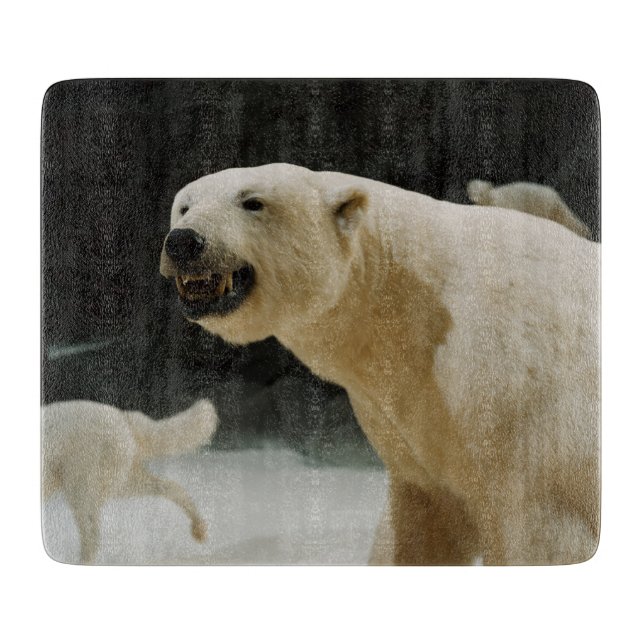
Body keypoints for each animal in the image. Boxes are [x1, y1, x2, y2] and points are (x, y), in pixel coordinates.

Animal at [42, 399, 217, 564]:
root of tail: (124, 418)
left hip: (82, 482)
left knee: (91, 531)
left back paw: (82, 561)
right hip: (122, 481)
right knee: (170, 486)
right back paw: (199, 528)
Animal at [160, 163, 600, 565]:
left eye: (252, 202)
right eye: (184, 206)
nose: (183, 241)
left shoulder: (513, 402)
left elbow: (540, 533)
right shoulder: (411, 422)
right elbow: (420, 523)